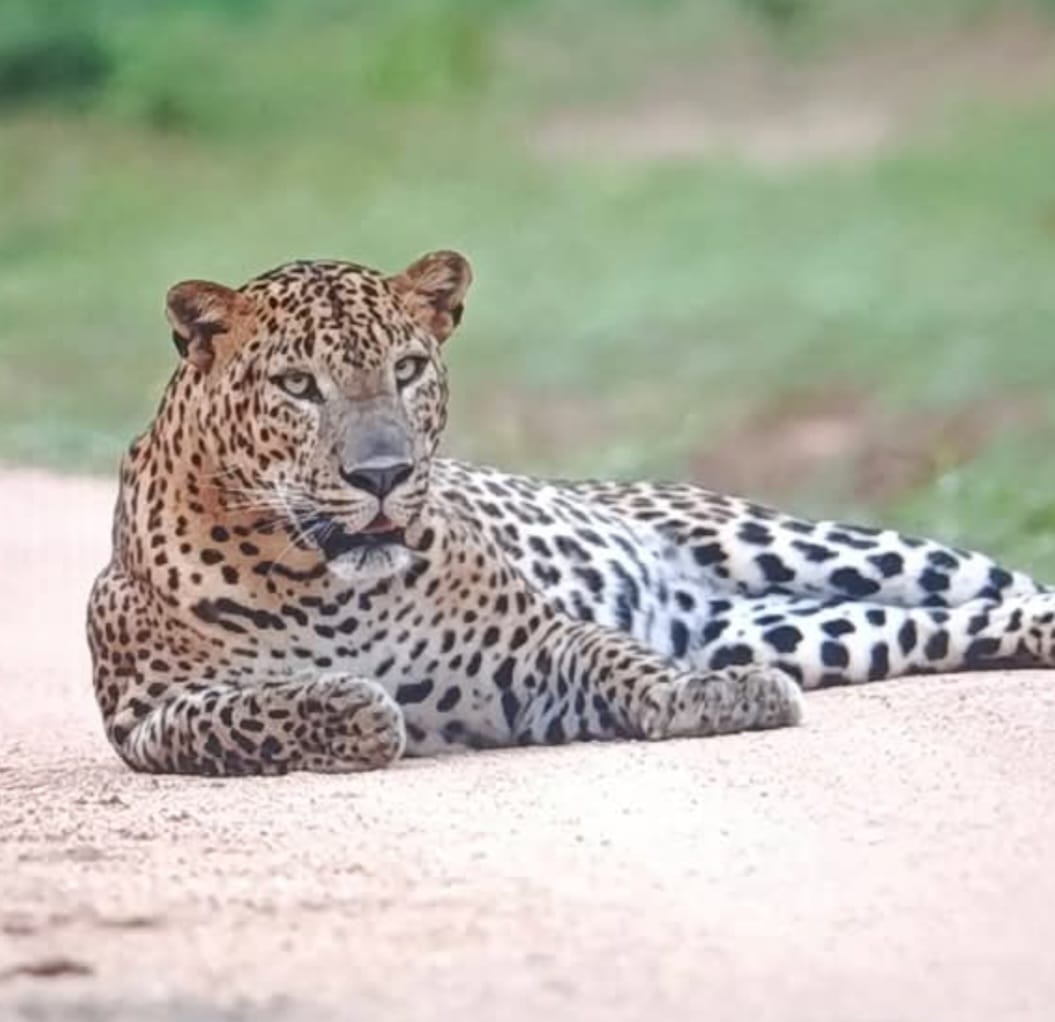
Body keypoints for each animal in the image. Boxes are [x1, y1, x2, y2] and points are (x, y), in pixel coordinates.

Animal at [87, 250, 1055, 775]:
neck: (328, 586)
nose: (383, 475)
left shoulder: (534, 646)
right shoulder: (146, 715)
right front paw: (353, 705)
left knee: (1000, 583)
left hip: (815, 546)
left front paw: (712, 695)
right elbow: (251, 710)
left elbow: (623, 661)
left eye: (407, 368)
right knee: (947, 624)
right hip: (809, 628)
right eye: (296, 385)